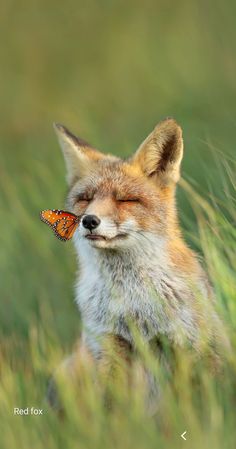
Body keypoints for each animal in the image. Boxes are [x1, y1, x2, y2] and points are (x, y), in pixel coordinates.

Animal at [49, 117, 229, 408]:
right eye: (85, 198)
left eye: (125, 199)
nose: (89, 221)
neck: (132, 301)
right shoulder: (109, 344)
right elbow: (113, 408)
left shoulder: (185, 342)